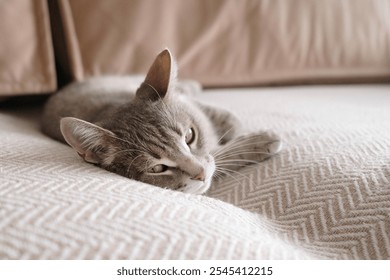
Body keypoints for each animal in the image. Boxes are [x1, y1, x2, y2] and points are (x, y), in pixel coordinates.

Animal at [42, 49, 280, 194]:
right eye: (157, 169)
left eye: (190, 135)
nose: (200, 174)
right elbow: (220, 156)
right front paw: (258, 142)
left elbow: (228, 122)